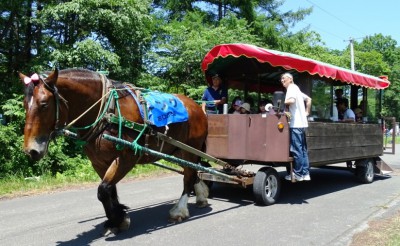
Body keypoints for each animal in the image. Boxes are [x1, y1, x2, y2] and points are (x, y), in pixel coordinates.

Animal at [19, 68, 209, 234]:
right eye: (24, 104)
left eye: (44, 104)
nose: (31, 150)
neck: (107, 112)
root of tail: (197, 106)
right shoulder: (98, 162)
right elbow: (109, 190)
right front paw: (116, 218)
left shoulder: (126, 158)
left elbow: (103, 190)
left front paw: (118, 218)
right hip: (179, 151)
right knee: (193, 171)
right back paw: (201, 196)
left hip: (191, 149)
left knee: (188, 176)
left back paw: (180, 210)